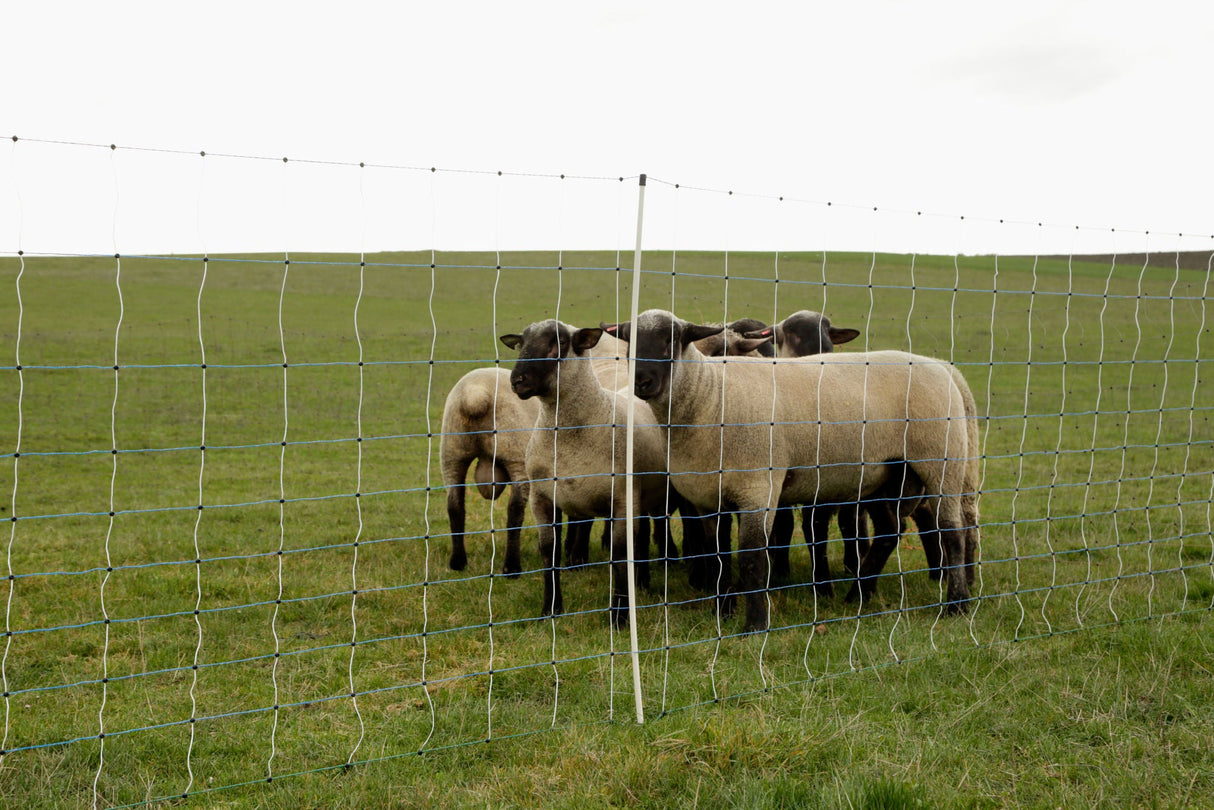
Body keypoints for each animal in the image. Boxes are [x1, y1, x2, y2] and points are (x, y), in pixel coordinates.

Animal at [502, 315, 674, 626]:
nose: (517, 381)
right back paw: (641, 583)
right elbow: (549, 553)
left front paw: (620, 617)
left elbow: (620, 554)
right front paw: (550, 610)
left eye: (558, 343)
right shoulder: (542, 498)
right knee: (642, 538)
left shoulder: (622, 499)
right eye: (521, 343)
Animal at [607, 310, 976, 631]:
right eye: (629, 343)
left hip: (941, 460)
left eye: (671, 340)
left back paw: (956, 604)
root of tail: (943, 369)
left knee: (952, 532)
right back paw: (857, 595)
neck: (711, 396)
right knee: (889, 530)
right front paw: (722, 612)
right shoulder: (705, 497)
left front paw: (755, 625)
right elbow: (717, 556)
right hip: (885, 474)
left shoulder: (758, 487)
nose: (642, 382)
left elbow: (752, 557)